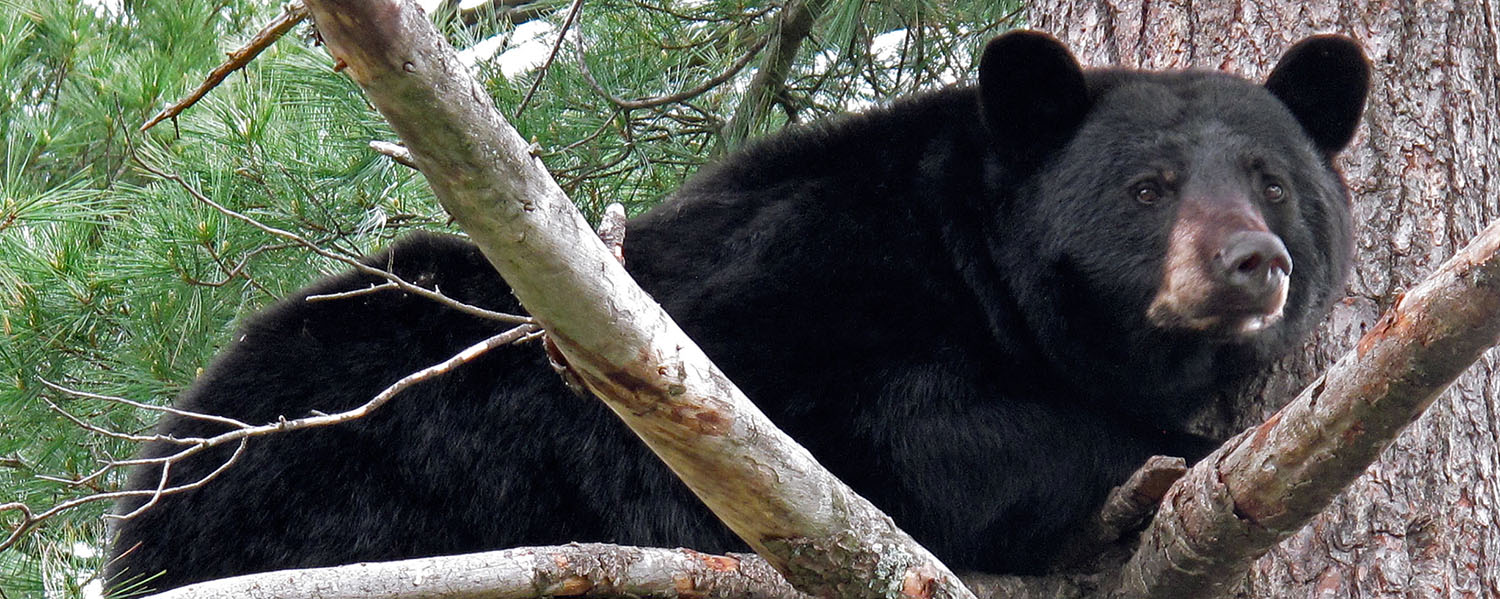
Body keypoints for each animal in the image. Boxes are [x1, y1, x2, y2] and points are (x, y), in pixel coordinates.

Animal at [105, 30, 1369, 592]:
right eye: (1149, 187)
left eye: (1273, 180)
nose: (1252, 262)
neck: (975, 259)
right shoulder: (795, 282)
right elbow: (906, 434)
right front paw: (1153, 461)